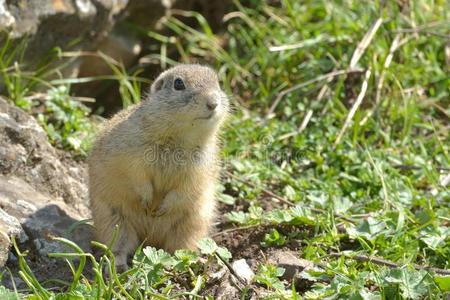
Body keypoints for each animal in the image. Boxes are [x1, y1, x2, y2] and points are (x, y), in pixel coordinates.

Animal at [87, 63, 229, 270]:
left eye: (217, 82)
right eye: (178, 83)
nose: (213, 103)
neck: (178, 137)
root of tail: (150, 238)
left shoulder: (199, 169)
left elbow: (185, 189)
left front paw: (161, 209)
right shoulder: (132, 156)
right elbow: (138, 177)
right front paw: (148, 202)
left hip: (192, 223)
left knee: (179, 248)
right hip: (112, 220)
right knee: (120, 246)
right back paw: (117, 266)